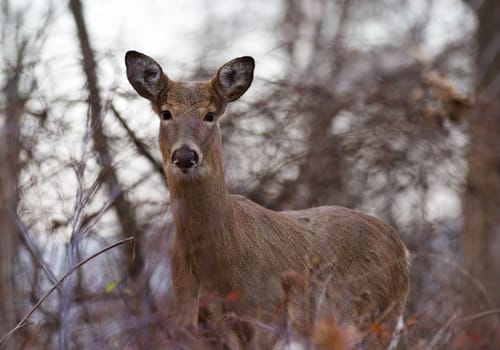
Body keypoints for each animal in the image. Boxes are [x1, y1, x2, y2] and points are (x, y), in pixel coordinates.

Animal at [125, 50, 410, 348]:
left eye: (210, 115)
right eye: (166, 113)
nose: (184, 156)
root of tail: (401, 247)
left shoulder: (267, 316)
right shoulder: (192, 323)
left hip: (377, 318)